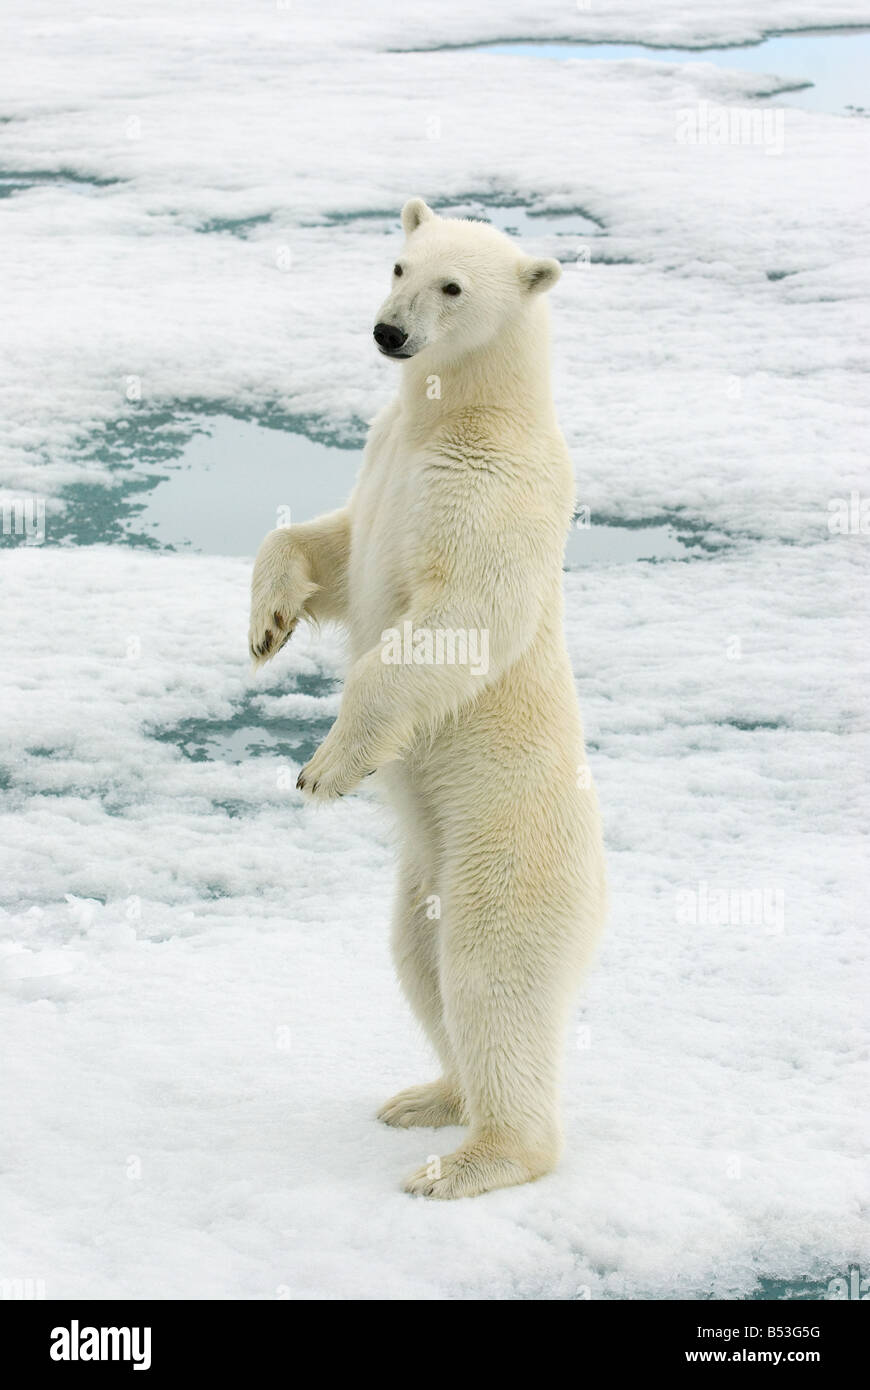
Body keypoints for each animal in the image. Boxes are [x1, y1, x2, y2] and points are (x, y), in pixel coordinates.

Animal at [247, 195, 605, 1195]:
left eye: (453, 287)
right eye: (399, 264)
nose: (388, 333)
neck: (464, 414)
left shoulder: (491, 485)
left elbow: (459, 617)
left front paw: (325, 768)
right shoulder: (386, 464)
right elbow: (331, 548)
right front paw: (267, 623)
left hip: (504, 838)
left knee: (490, 971)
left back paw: (476, 1159)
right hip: (426, 869)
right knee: (418, 959)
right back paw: (428, 1098)